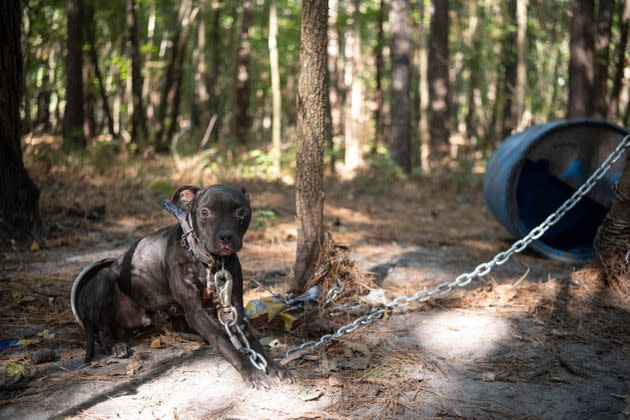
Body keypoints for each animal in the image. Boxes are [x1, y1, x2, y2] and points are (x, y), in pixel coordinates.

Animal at [71, 185, 294, 388]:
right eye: (204, 212)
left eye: (240, 212)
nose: (225, 237)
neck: (209, 261)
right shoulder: (195, 310)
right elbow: (225, 342)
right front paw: (251, 372)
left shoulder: (235, 309)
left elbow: (253, 342)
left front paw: (275, 367)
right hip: (105, 279)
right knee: (102, 331)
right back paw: (115, 346)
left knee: (177, 327)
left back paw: (195, 336)